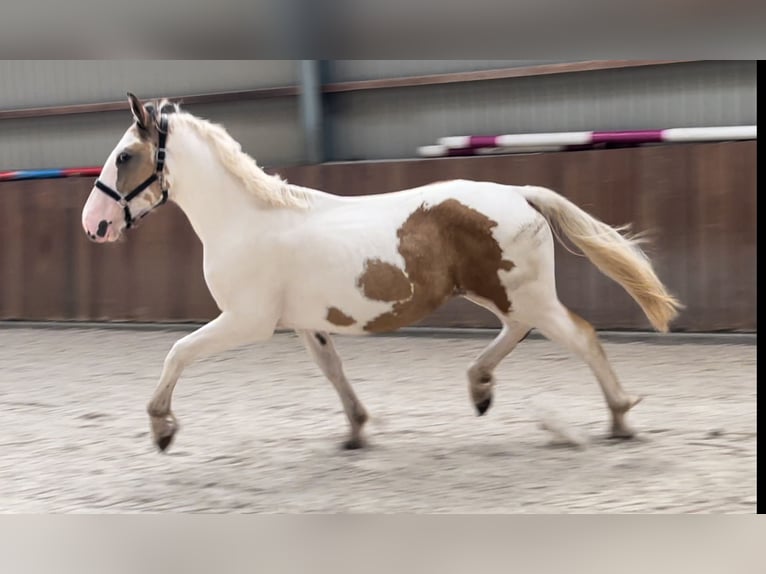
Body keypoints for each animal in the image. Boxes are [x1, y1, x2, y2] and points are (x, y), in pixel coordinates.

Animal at [82, 93, 684, 454]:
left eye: (124, 157)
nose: (94, 224)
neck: (249, 220)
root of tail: (519, 192)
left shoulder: (245, 321)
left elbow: (177, 351)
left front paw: (162, 428)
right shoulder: (306, 324)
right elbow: (333, 372)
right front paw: (357, 430)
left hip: (521, 293)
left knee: (580, 335)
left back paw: (620, 419)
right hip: (503, 294)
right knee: (519, 332)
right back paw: (480, 388)